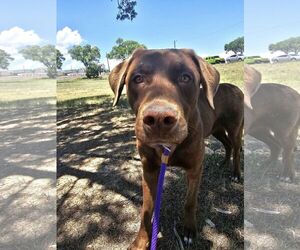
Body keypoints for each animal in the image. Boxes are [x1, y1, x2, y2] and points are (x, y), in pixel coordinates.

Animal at [109, 48, 243, 248]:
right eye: (138, 78)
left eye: (185, 77)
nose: (159, 119)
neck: (167, 147)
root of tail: (235, 87)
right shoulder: (149, 170)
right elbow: (146, 210)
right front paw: (141, 241)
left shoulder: (194, 169)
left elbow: (190, 201)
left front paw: (188, 230)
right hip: (216, 128)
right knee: (226, 144)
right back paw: (224, 162)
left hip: (234, 128)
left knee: (235, 147)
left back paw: (235, 173)